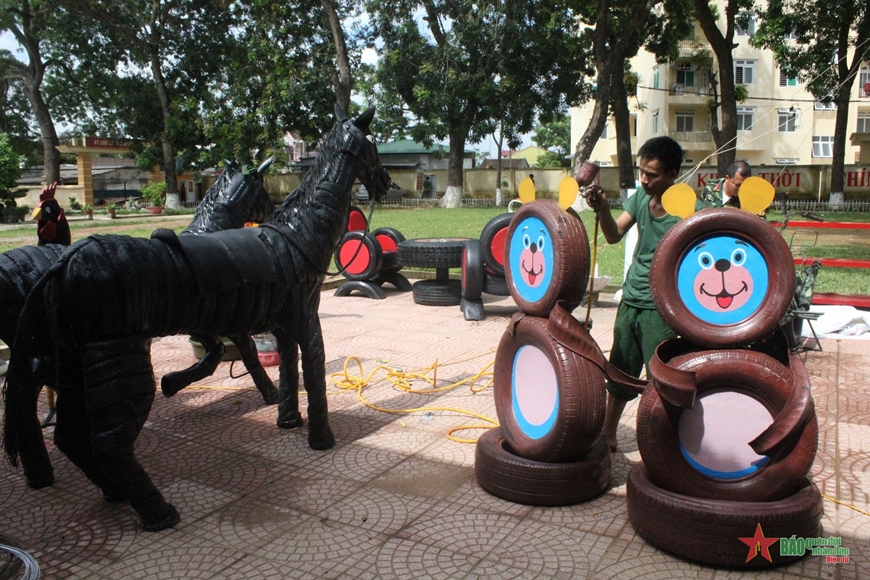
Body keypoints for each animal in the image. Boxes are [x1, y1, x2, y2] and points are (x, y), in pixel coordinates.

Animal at [2, 106, 392, 532]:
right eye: (372, 146)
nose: (386, 182)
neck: (298, 233)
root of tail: (64, 266)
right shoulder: (303, 321)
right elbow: (312, 371)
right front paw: (322, 439)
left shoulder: (280, 326)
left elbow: (287, 370)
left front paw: (288, 419)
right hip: (117, 358)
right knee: (107, 442)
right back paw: (160, 513)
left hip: (74, 360)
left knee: (69, 435)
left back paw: (108, 491)